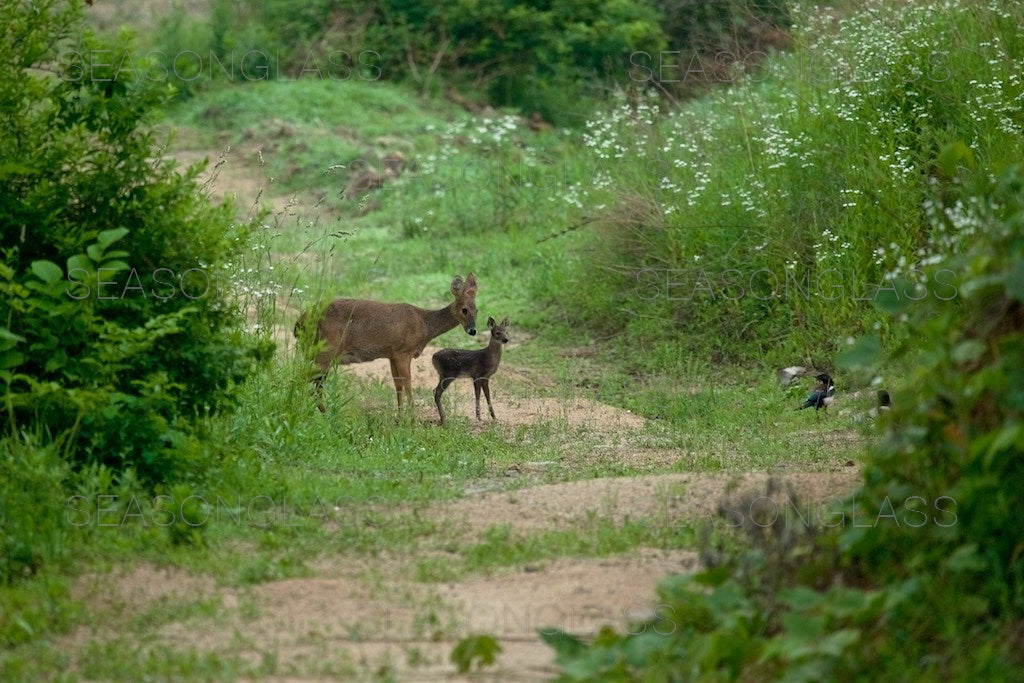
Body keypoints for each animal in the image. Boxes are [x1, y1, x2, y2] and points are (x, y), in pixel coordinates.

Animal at [296, 272, 479, 411]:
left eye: (477, 310)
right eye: (464, 310)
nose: (472, 330)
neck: (424, 324)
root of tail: (300, 322)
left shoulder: (391, 354)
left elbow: (398, 385)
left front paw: (400, 419)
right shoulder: (403, 351)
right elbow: (408, 384)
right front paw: (412, 422)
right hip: (325, 351)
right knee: (305, 379)